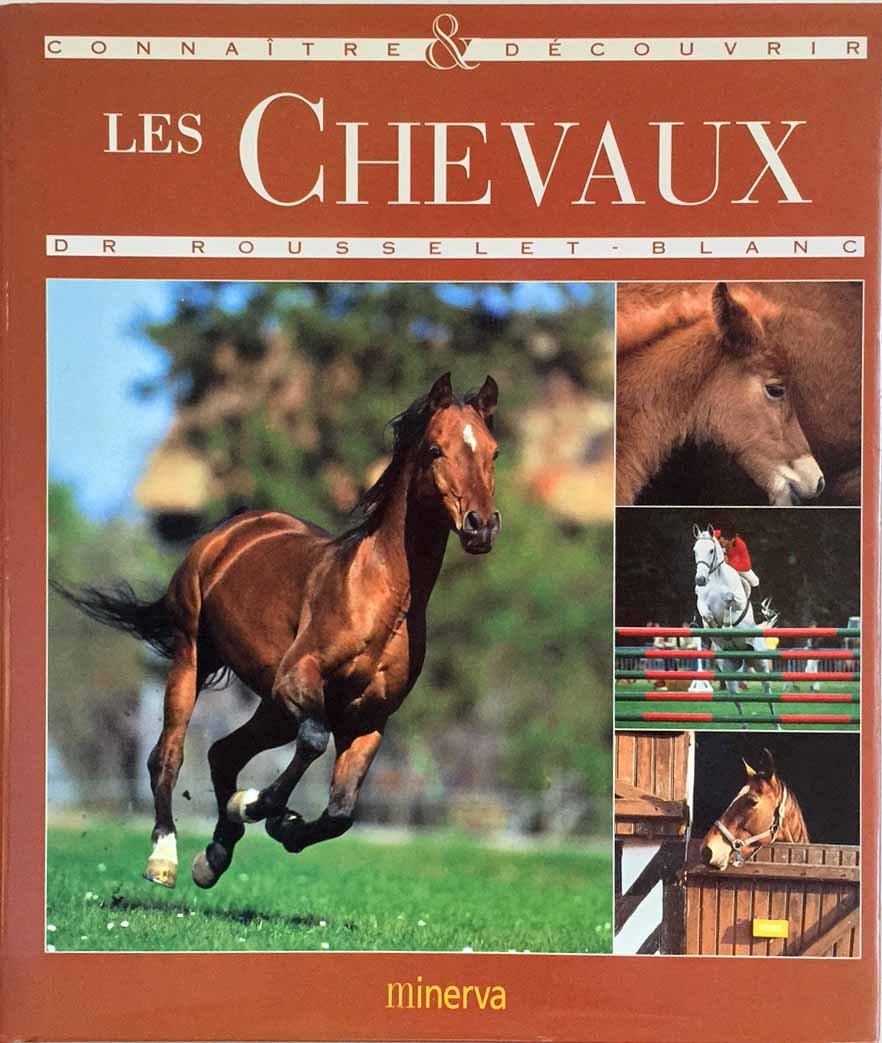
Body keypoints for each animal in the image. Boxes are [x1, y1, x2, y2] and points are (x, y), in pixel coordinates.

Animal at [54, 373, 501, 890]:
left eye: (493, 452)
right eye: (435, 448)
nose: (480, 526)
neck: (381, 597)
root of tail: (231, 531)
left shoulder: (369, 718)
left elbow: (342, 812)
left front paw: (280, 824)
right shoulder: (298, 680)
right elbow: (313, 742)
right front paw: (256, 806)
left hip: (272, 707)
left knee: (223, 753)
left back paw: (215, 855)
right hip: (193, 660)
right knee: (168, 755)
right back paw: (164, 857)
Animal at [692, 525, 772, 695]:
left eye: (711, 550)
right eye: (695, 550)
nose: (700, 580)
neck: (715, 579)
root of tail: (744, 654)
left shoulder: (739, 603)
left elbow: (730, 600)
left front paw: (726, 623)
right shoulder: (702, 603)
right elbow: (707, 616)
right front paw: (716, 628)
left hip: (760, 661)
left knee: (767, 688)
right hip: (728, 665)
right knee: (734, 690)